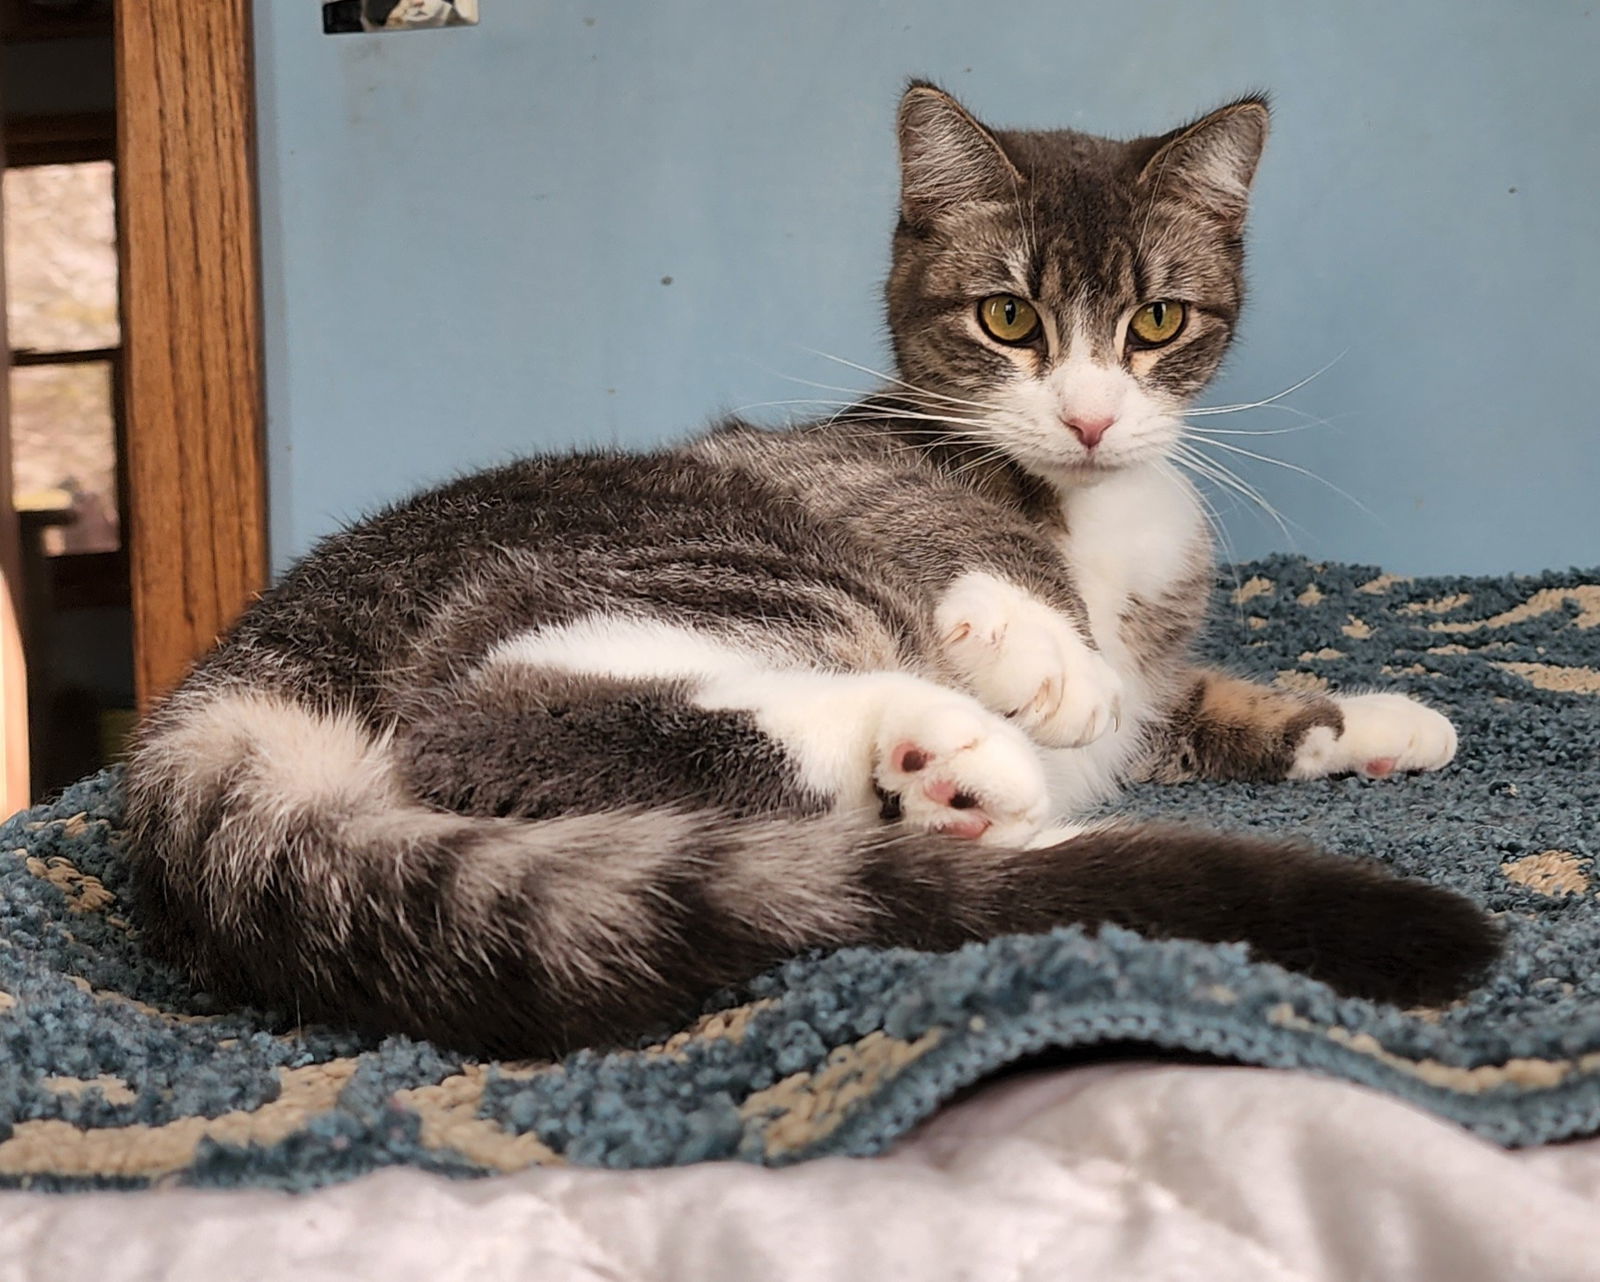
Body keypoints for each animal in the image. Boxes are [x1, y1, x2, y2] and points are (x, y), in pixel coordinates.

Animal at [124, 84, 1497, 1056]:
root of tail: (248, 671)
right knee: (493, 719)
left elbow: (1199, 699)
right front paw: (1051, 653)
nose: (1092, 418)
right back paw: (951, 752)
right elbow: (988, 549)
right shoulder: (855, 473)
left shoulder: (1162, 657)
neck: (1103, 508)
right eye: (1009, 318)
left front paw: (1370, 722)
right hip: (710, 554)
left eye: (1156, 322)